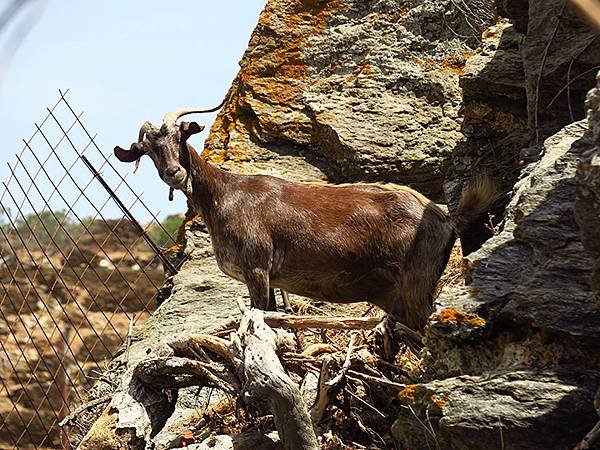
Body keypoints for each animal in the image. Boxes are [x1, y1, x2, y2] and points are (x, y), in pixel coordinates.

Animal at [113, 108, 496, 326]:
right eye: (147, 150)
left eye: (179, 136)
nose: (175, 173)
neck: (227, 195)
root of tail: (445, 217)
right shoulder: (269, 278)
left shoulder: (258, 268)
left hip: (416, 282)